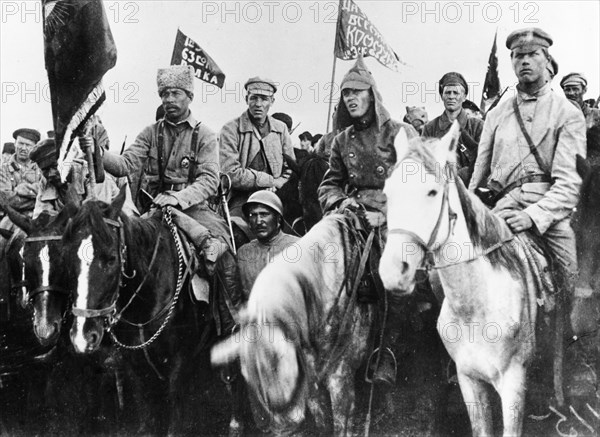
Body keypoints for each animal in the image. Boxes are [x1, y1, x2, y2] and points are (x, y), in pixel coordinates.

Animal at [380, 123, 544, 436]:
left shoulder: (514, 386)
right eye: (387, 193)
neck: (475, 308)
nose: (393, 272)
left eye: (432, 192)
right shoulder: (469, 380)